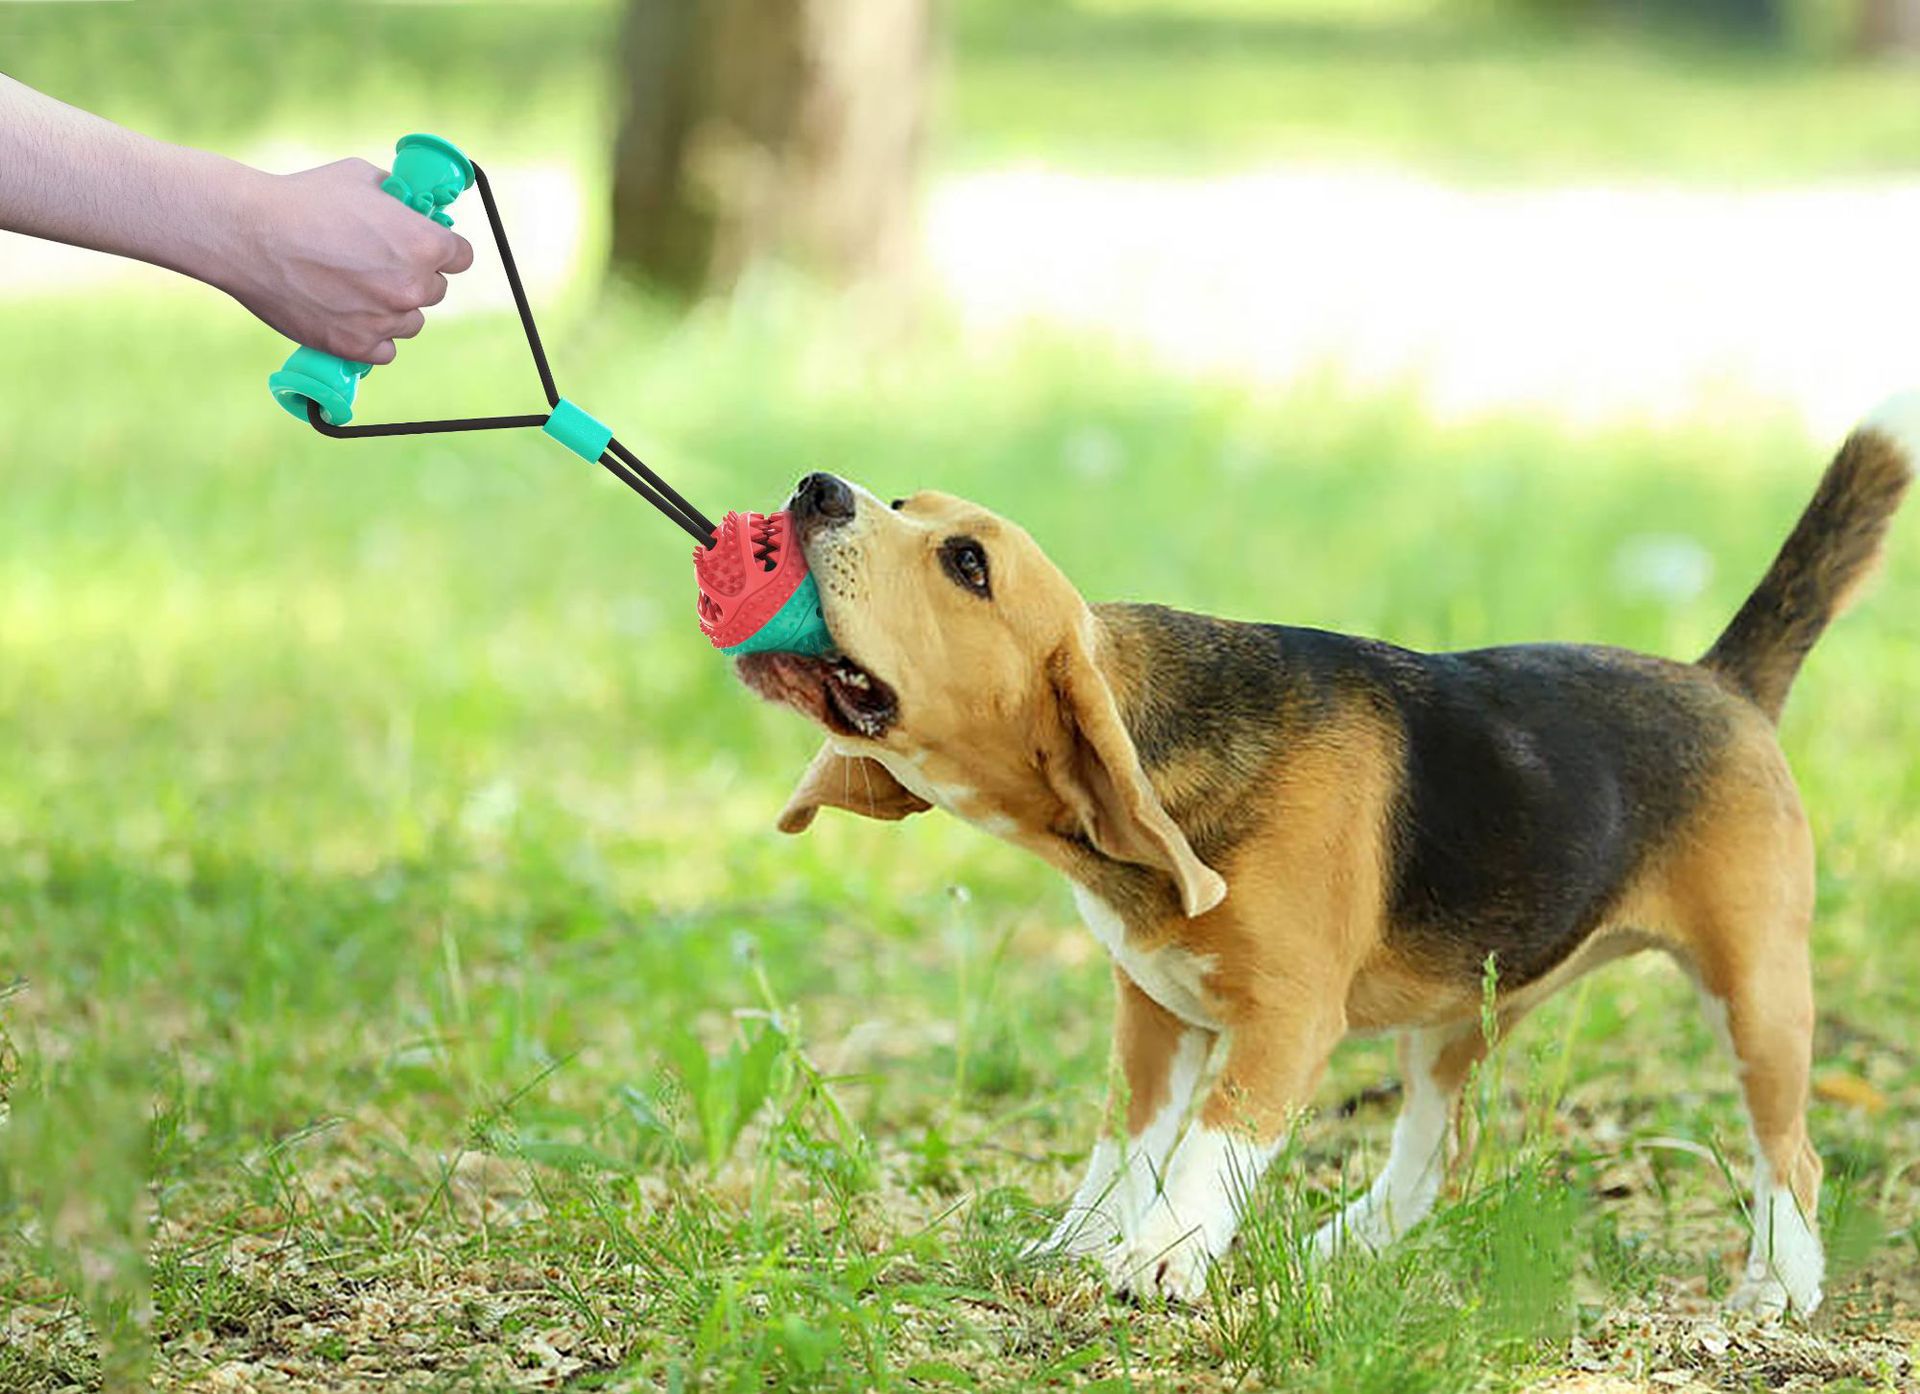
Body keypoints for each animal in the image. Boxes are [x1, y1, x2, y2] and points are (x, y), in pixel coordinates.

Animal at [729, 395, 1904, 1321]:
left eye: (966, 562)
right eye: (906, 502)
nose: (816, 488)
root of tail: (1725, 680)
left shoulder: (1286, 1022)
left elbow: (1210, 1146)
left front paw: (1161, 1256)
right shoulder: (1153, 1016)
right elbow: (1124, 1145)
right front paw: (1081, 1242)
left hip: (1756, 987)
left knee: (1791, 1154)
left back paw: (1779, 1282)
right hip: (1457, 1011)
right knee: (1432, 1156)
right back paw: (1346, 1247)